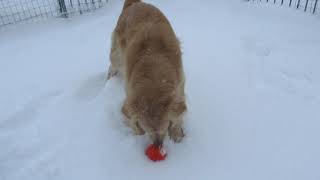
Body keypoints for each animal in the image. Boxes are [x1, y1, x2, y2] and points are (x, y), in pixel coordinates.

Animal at [108, 0, 188, 146]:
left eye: (164, 128)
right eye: (148, 131)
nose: (158, 145)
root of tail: (133, 3)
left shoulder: (180, 83)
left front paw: (177, 133)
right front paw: (137, 132)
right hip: (117, 56)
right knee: (112, 65)